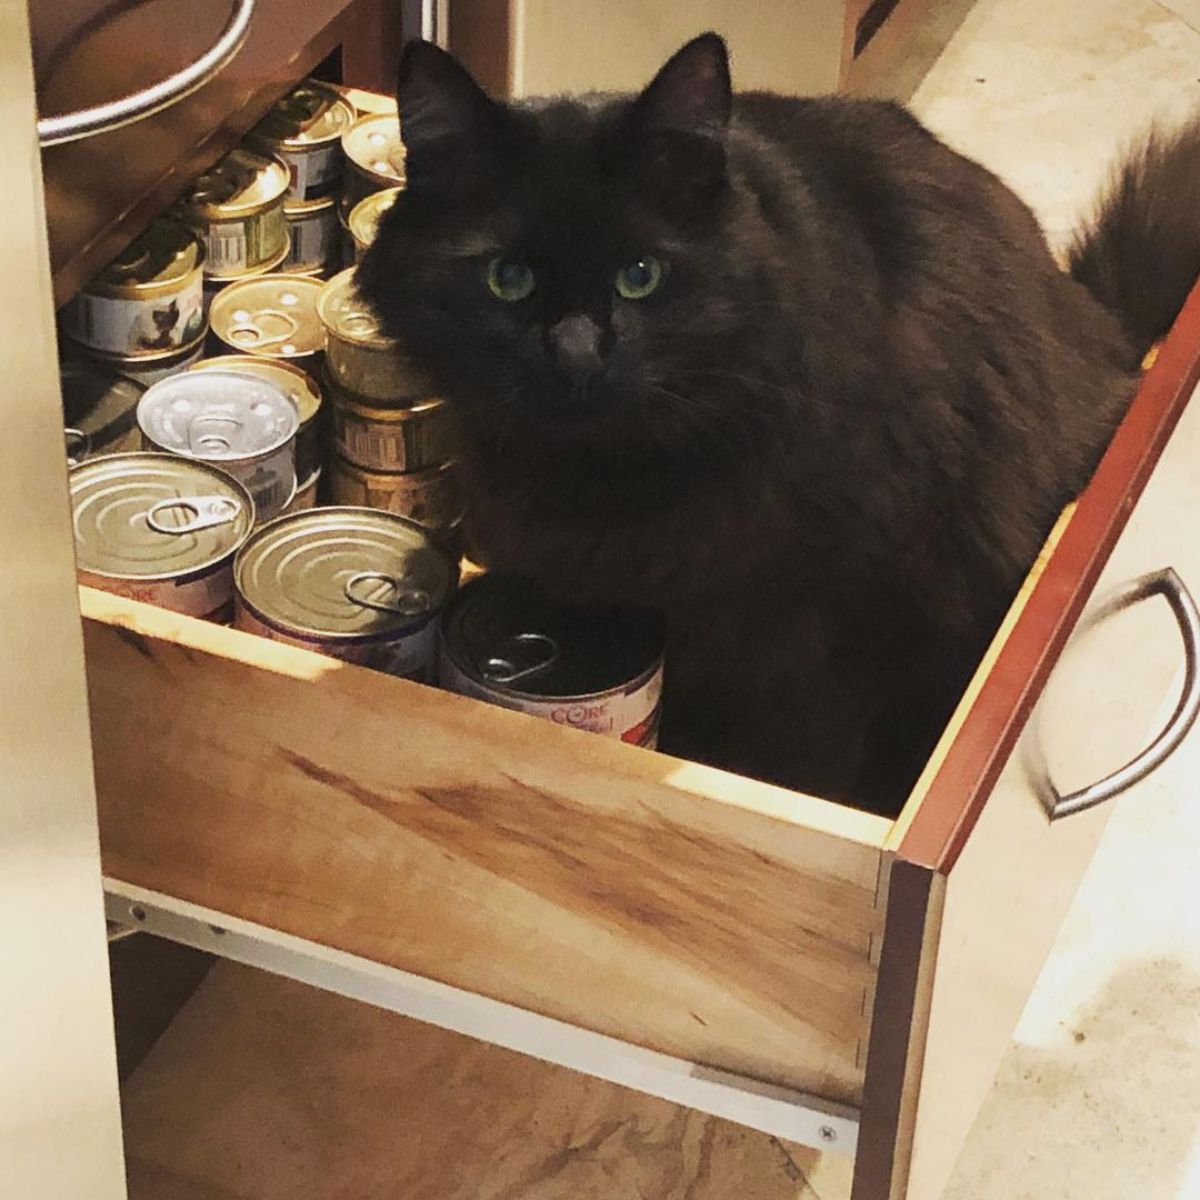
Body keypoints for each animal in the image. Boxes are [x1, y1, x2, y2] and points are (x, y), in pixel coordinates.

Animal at [360, 35, 1200, 816]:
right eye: (507, 279)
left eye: (641, 276)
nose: (576, 352)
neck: (611, 476)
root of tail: (1111, 332)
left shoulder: (818, 644)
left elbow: (795, 768)